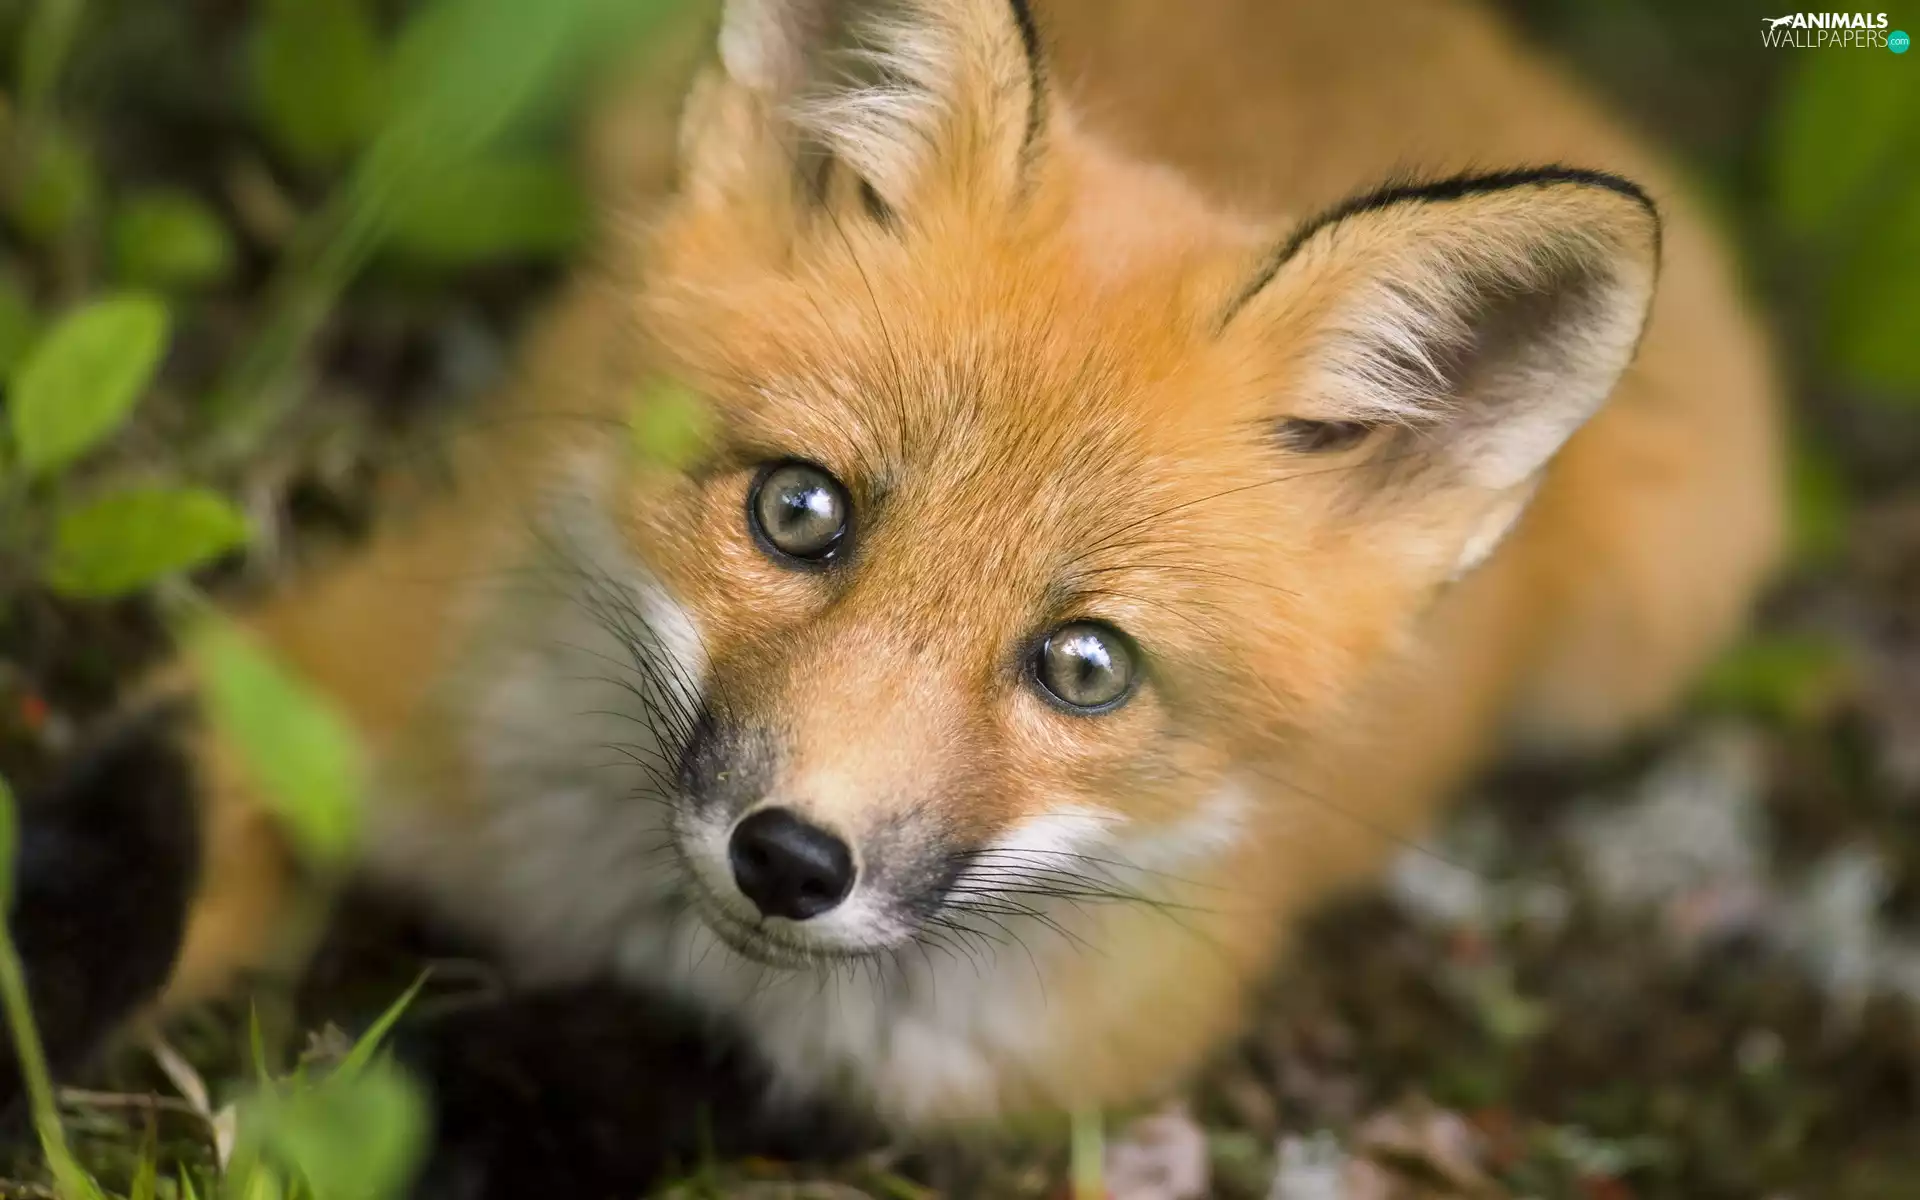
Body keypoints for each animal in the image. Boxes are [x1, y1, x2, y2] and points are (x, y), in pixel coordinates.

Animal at [5, 0, 1781, 1173]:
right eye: (801, 512)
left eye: (1084, 665)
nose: (790, 859)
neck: (610, 897)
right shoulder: (318, 677)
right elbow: (106, 870)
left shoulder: (1041, 1051)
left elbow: (694, 1053)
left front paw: (429, 1104)